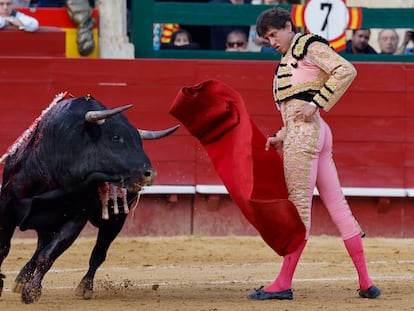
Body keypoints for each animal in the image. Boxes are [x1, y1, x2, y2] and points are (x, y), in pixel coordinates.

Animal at [0, 94, 178, 304]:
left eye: (139, 141)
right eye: (116, 137)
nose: (149, 174)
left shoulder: (75, 219)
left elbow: (48, 255)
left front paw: (32, 291)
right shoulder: (6, 205)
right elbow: (4, 248)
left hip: (116, 219)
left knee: (98, 253)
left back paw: (85, 287)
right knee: (39, 248)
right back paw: (20, 279)